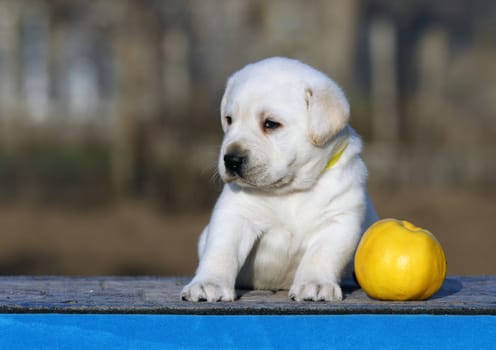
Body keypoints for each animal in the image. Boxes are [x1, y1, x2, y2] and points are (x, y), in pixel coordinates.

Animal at [180, 56, 378, 300]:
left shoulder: (338, 220)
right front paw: (209, 283)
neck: (290, 190)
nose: (231, 159)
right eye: (229, 120)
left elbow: (321, 255)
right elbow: (221, 251)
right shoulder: (236, 215)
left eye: (270, 124)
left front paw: (315, 284)